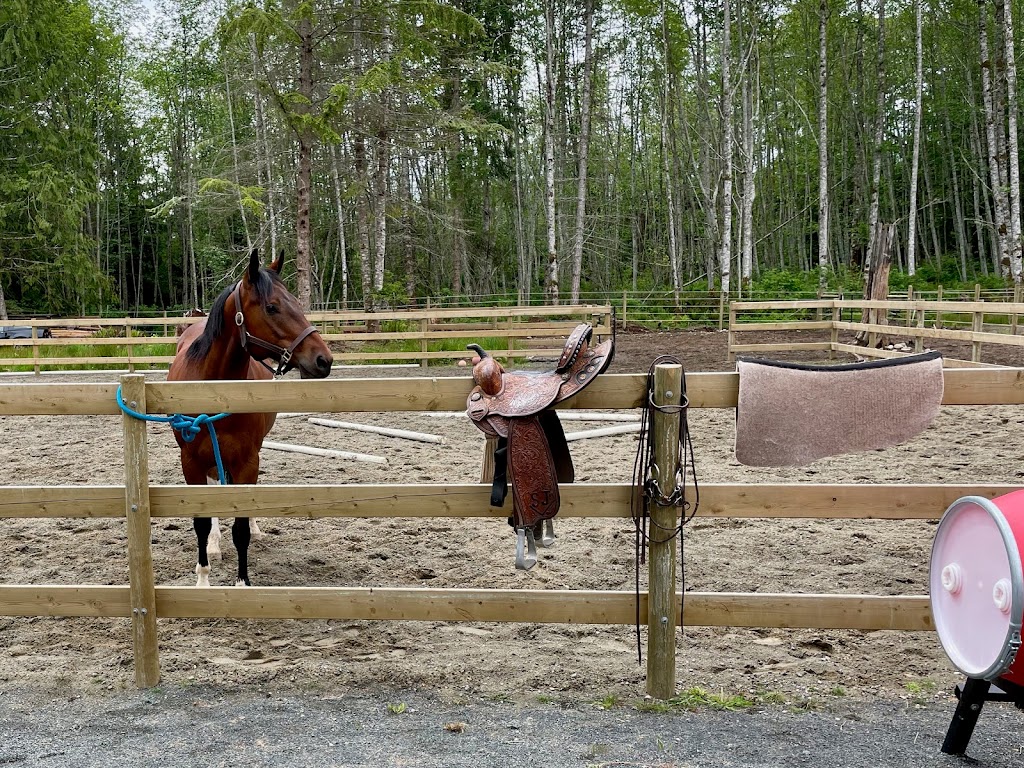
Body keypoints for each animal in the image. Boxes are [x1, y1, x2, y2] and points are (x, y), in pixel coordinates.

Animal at [168, 249, 331, 585]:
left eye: (296, 302)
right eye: (272, 306)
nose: (324, 359)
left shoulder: (246, 460)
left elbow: (241, 525)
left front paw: (243, 582)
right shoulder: (190, 462)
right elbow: (201, 521)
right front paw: (203, 577)